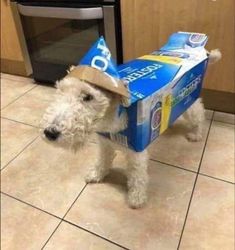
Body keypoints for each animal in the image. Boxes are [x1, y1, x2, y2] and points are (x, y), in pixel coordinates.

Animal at [40, 49, 220, 208]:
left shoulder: (137, 153)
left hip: (190, 103)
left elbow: (137, 176)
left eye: (88, 97)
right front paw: (96, 175)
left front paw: (136, 198)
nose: (50, 132)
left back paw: (196, 135)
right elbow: (102, 161)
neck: (112, 119)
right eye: (60, 90)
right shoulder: (104, 143)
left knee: (199, 113)